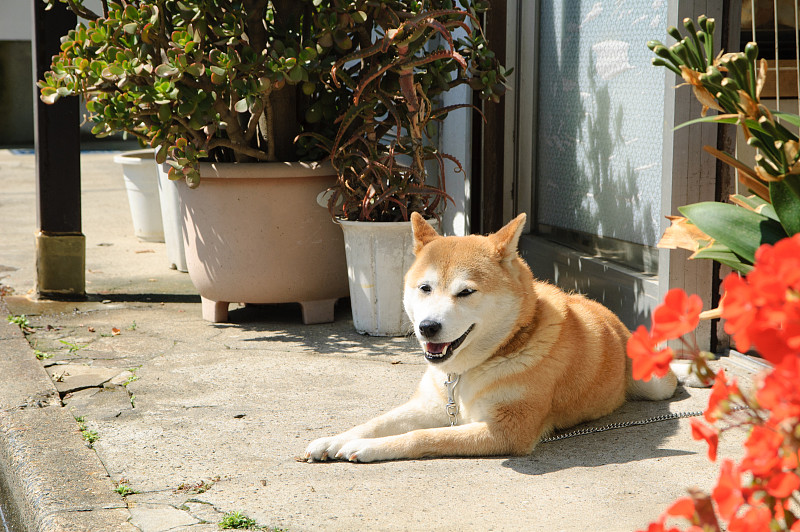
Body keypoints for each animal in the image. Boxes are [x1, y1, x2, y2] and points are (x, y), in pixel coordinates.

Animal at [304, 212, 676, 462]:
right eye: (425, 288)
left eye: (466, 292)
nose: (427, 327)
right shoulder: (431, 404)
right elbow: (378, 421)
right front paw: (335, 440)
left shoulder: (508, 431)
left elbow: (422, 436)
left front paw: (367, 447)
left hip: (654, 384)